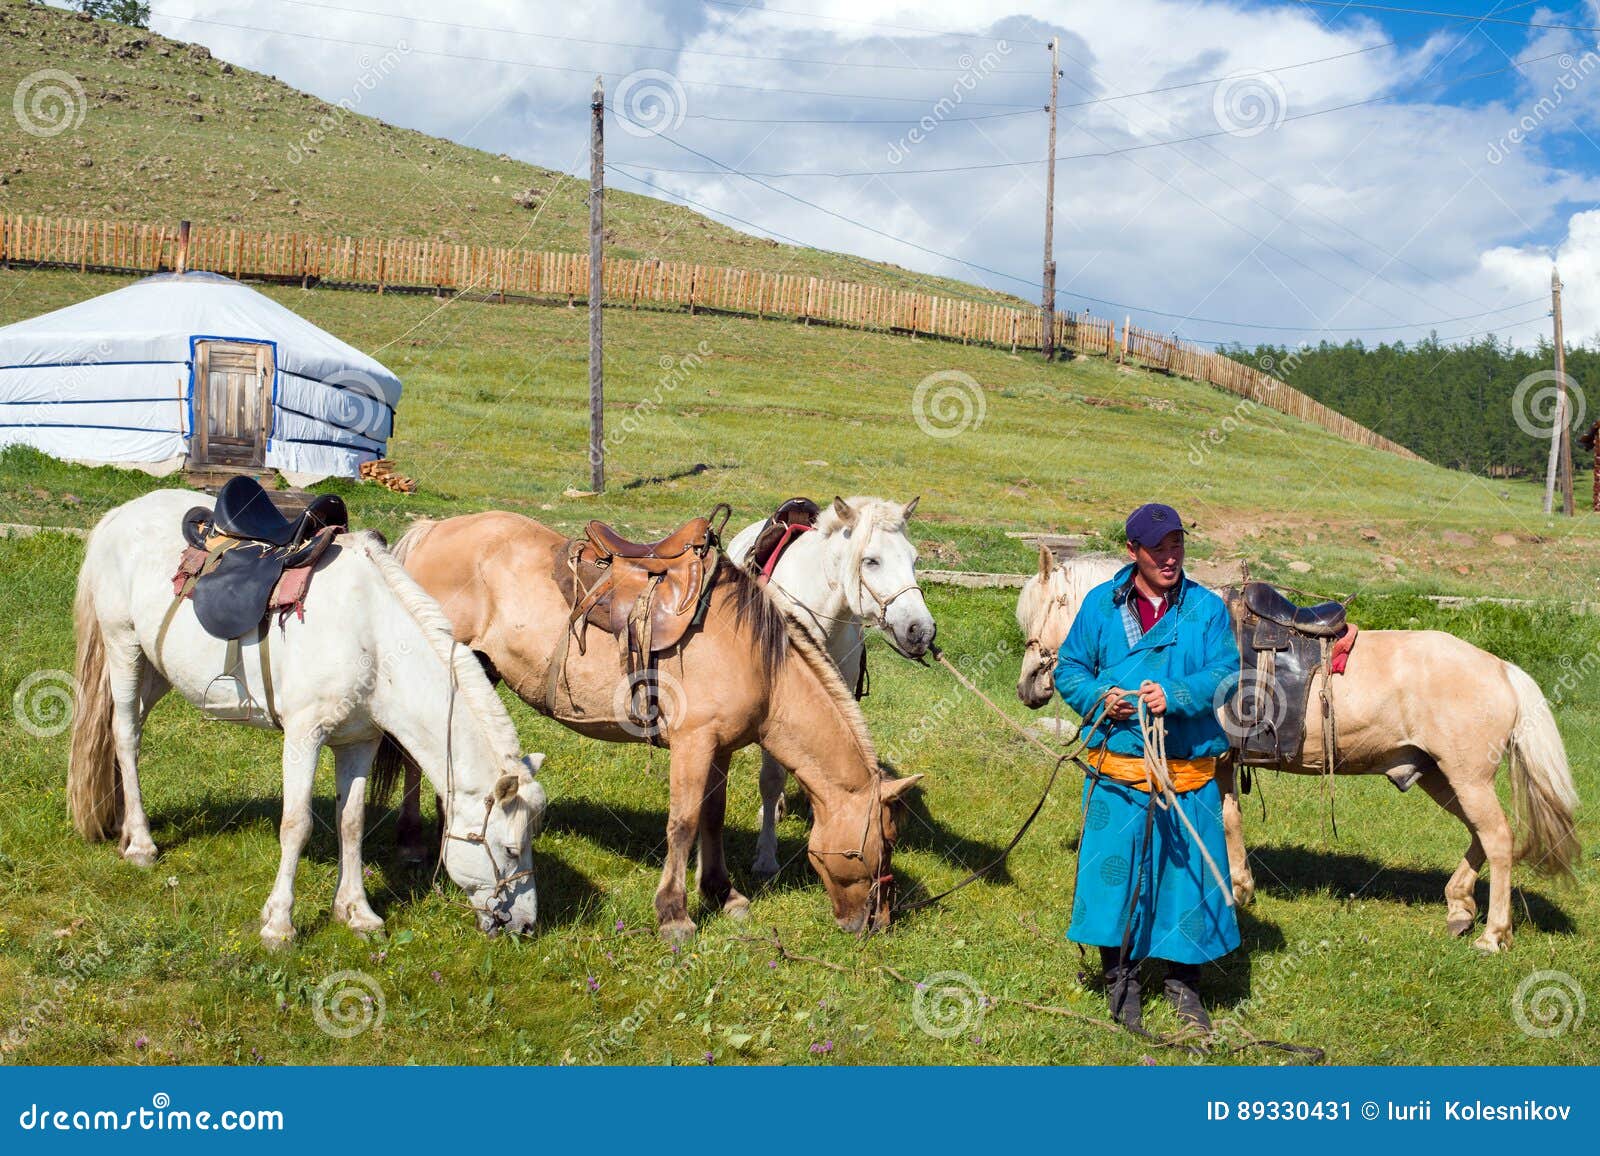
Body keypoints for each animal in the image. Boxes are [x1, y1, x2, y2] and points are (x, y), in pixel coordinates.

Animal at [68, 489, 547, 941]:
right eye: (509, 849)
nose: (525, 925)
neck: (372, 636)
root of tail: (120, 513)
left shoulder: (359, 742)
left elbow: (351, 822)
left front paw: (357, 912)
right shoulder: (303, 736)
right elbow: (295, 825)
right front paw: (279, 924)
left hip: (159, 668)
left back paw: (124, 826)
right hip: (124, 648)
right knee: (126, 734)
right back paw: (141, 844)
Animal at [374, 509, 921, 935]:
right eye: (886, 843)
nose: (879, 922)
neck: (761, 663)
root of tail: (431, 529)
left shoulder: (719, 748)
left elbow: (712, 818)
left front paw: (722, 893)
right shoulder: (693, 744)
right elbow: (682, 824)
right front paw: (674, 914)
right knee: (411, 756)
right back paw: (411, 839)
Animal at [1017, 544, 1580, 947]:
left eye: (1039, 613)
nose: (1028, 686)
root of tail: (1502, 669)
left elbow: (1221, 818)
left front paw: (1233, 889)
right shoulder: (1224, 762)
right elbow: (1229, 818)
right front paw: (1240, 886)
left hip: (1466, 776)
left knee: (1500, 838)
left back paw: (1493, 933)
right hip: (1441, 775)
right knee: (1481, 835)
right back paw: (1460, 905)